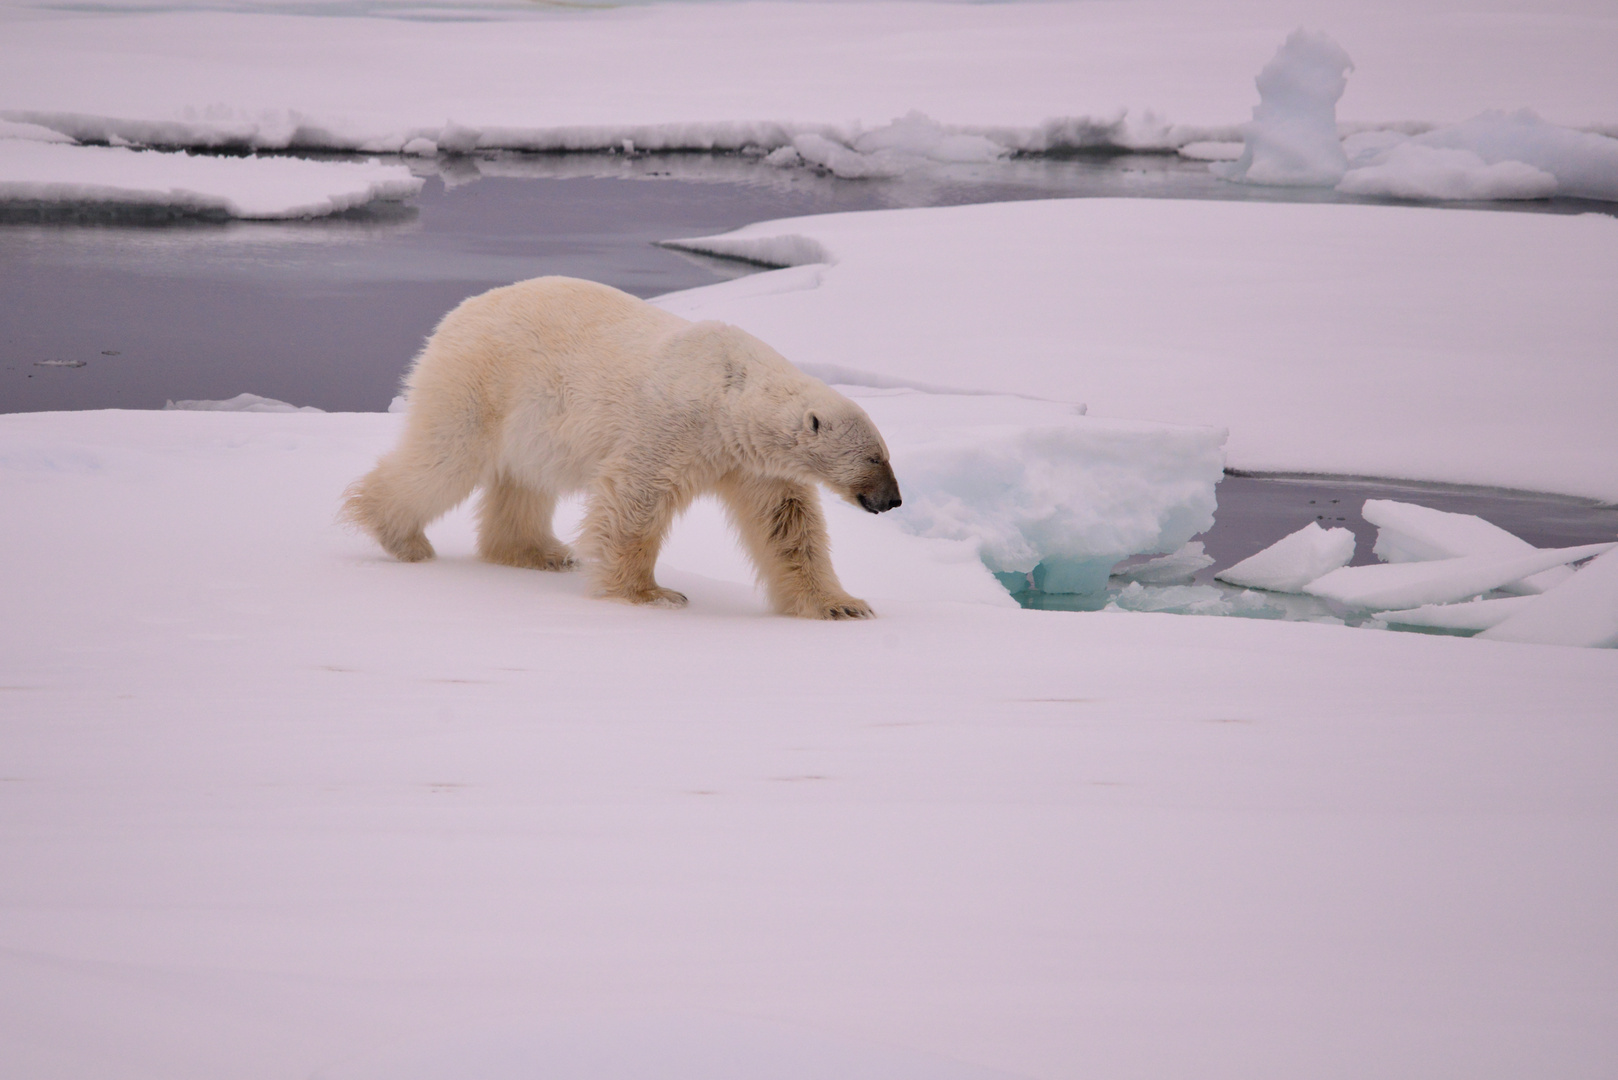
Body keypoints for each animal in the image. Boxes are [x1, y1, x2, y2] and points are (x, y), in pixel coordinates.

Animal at [343, 275, 906, 621]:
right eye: (873, 457)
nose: (894, 500)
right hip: (480, 381)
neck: (731, 394)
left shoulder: (753, 463)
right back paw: (400, 536)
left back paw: (540, 552)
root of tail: (457, 312)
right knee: (445, 458)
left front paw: (842, 605)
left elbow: (787, 526)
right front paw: (651, 594)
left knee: (524, 480)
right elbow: (636, 498)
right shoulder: (674, 425)